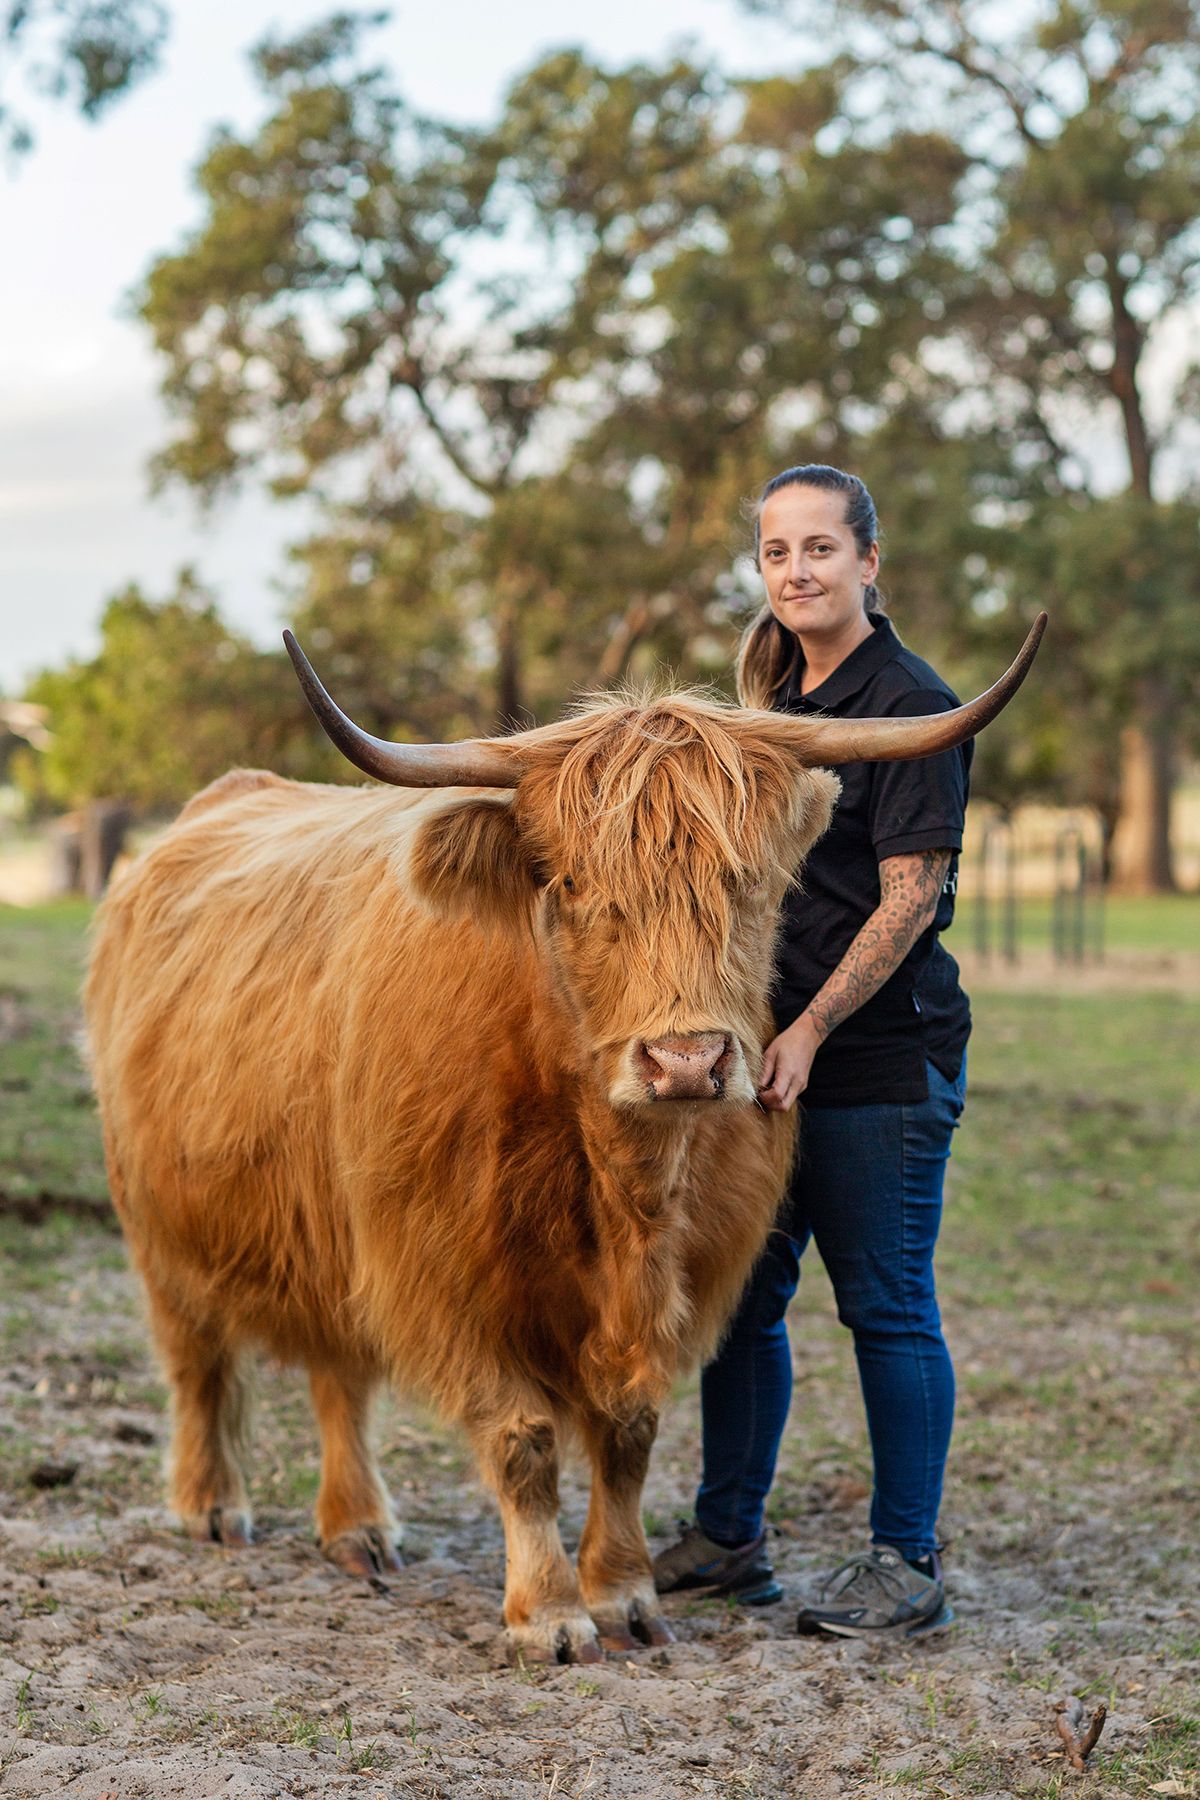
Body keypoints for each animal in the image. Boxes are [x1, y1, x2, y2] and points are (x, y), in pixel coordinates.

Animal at [84, 615, 1043, 1664]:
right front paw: (547, 1612)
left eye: (748, 881)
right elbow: (524, 1439)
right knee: (197, 1360)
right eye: (577, 884)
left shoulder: (685, 1272)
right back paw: (211, 1507)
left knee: (341, 1376)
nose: (685, 1061)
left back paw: (358, 1529)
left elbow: (627, 1434)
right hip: (161, 1221)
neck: (621, 1186)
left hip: (331, 1222)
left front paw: (624, 1593)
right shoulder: (443, 1268)